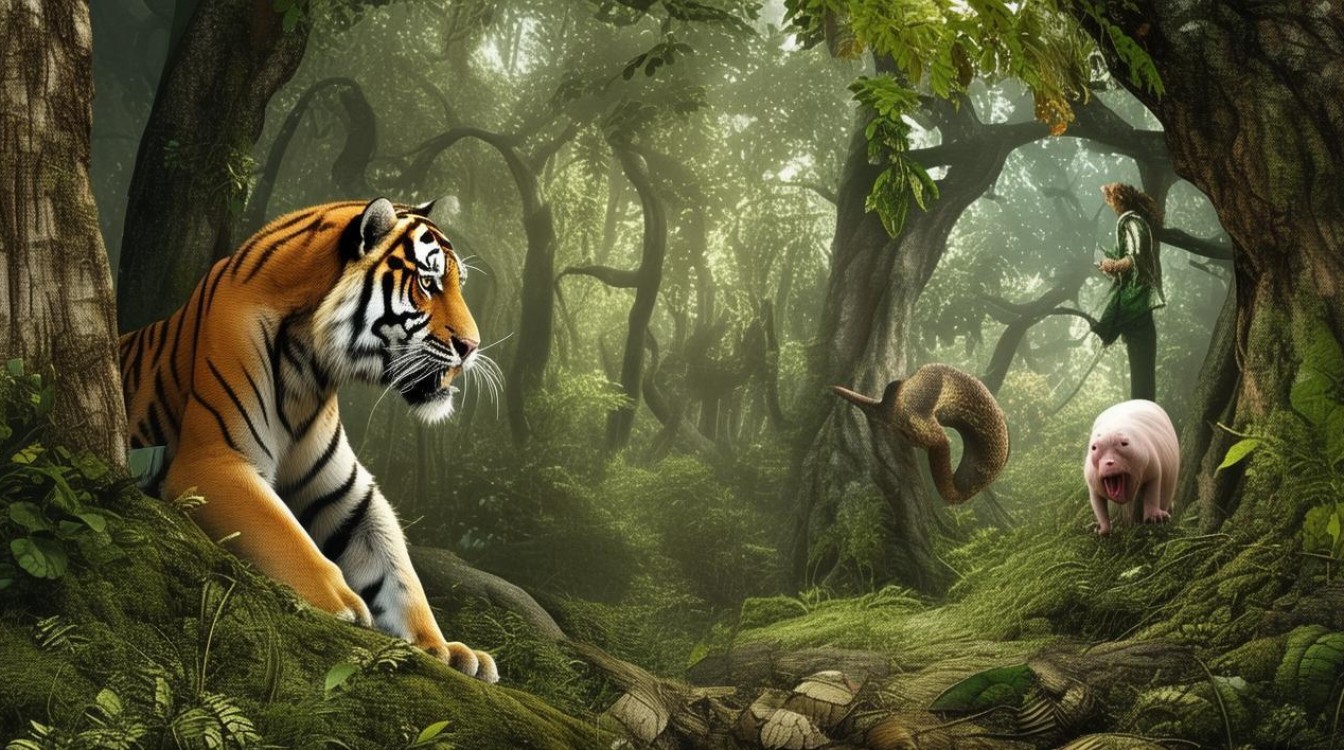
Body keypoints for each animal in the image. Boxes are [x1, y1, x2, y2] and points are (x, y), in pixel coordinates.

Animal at [118, 197, 499, 682]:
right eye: (428, 283)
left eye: (457, 284)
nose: (472, 347)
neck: (312, 368)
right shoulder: (215, 461)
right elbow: (284, 533)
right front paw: (342, 603)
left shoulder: (350, 496)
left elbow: (400, 572)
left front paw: (444, 649)